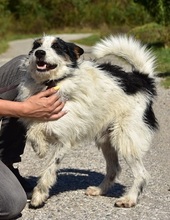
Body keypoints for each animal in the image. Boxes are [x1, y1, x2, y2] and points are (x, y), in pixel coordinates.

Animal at [16, 34, 158, 208]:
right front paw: (40, 147)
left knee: (141, 174)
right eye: (37, 45)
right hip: (106, 140)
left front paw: (38, 196)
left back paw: (129, 199)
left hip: (125, 138)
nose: (39, 53)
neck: (54, 83)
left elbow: (49, 166)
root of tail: (141, 79)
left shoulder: (64, 139)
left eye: (57, 47)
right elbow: (33, 131)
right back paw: (99, 190)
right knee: (114, 169)